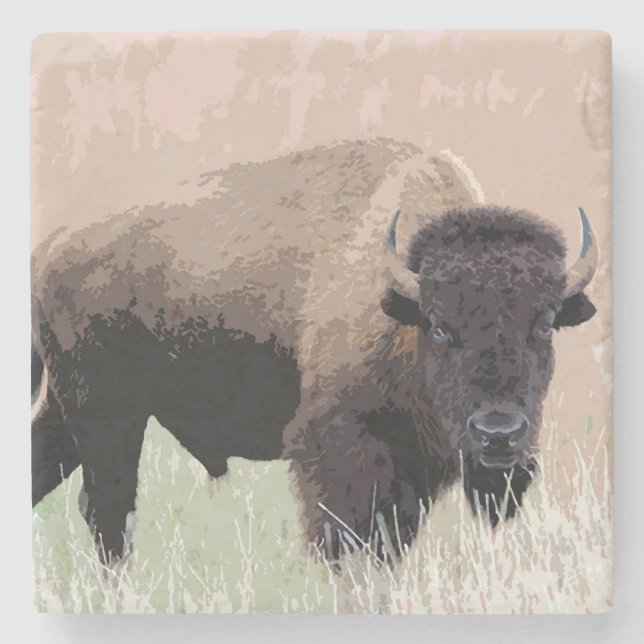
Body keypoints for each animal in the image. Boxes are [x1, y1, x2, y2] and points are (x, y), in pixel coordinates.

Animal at [31, 139, 597, 561]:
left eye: (546, 323)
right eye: (439, 326)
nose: (498, 432)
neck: (400, 300)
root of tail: (52, 246)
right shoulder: (341, 447)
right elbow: (345, 538)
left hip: (70, 409)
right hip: (107, 417)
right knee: (108, 512)